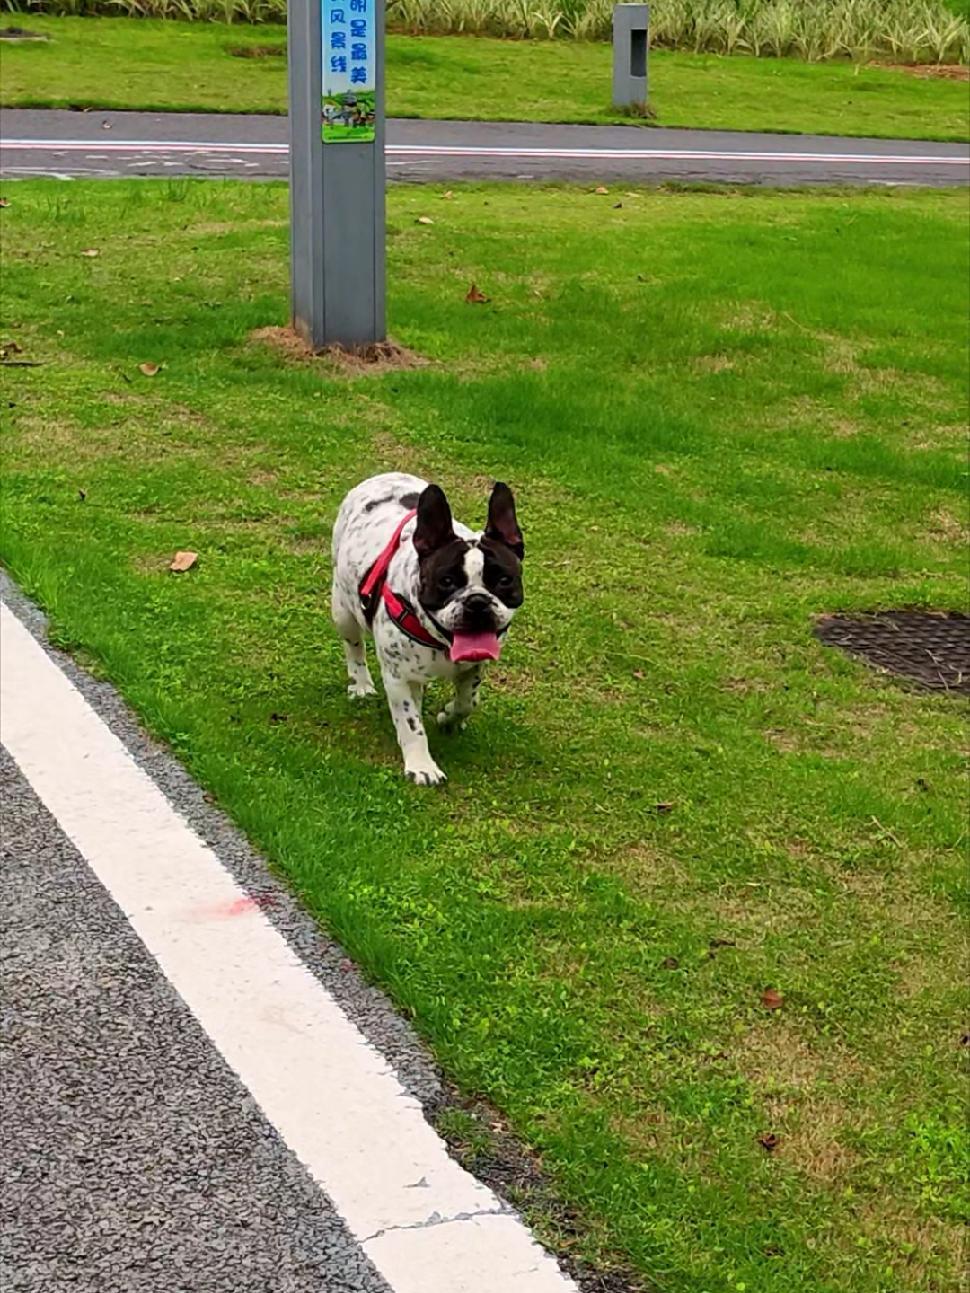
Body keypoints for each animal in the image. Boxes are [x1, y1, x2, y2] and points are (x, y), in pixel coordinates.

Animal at [331, 470, 525, 780]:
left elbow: (468, 702)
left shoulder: (474, 668)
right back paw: (360, 684)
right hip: (343, 610)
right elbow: (410, 723)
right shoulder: (397, 676)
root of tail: (385, 475)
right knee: (354, 646)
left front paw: (449, 717)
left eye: (504, 580)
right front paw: (421, 766)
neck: (440, 641)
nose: (477, 601)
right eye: (446, 581)